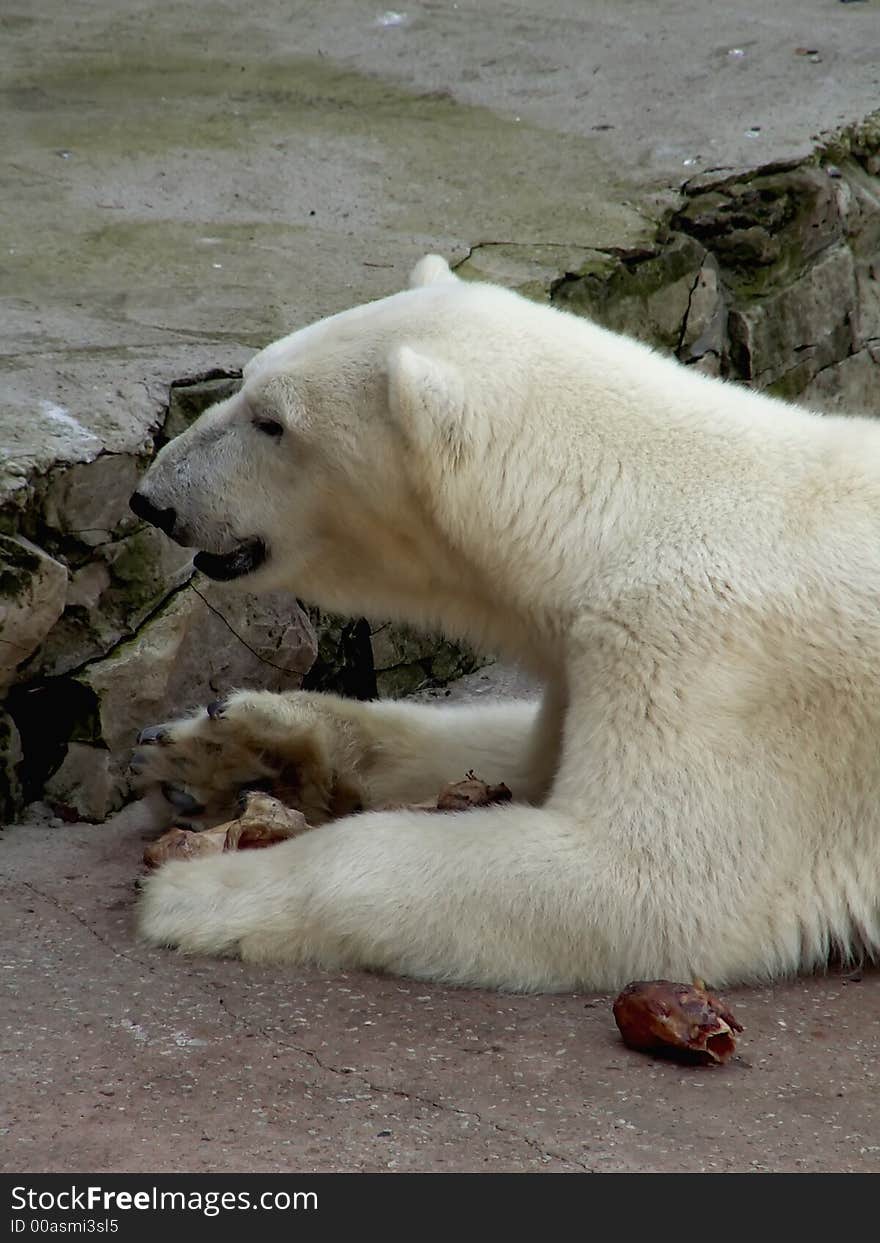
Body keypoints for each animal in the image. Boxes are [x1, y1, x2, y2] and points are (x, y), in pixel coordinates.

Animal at [128, 252, 879, 989]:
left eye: (273, 422)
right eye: (247, 379)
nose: (153, 498)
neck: (625, 507)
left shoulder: (718, 658)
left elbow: (646, 883)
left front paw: (201, 888)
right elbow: (509, 757)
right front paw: (220, 750)